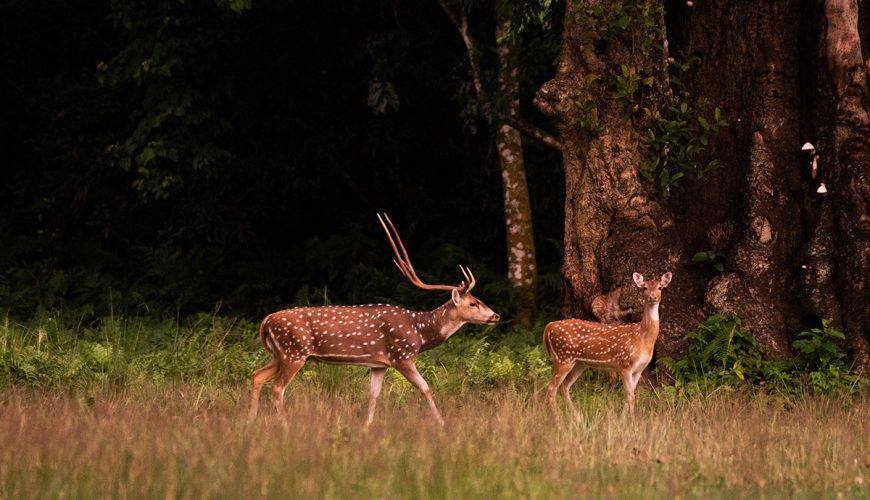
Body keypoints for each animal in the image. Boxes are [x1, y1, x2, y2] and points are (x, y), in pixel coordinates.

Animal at [249, 213, 500, 424]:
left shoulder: (379, 364)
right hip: (294, 352)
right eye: (473, 303)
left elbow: (374, 395)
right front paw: (442, 425)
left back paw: (250, 421)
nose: (495, 316)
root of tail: (266, 322)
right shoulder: (402, 356)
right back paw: (284, 425)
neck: (419, 333)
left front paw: (366, 427)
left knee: (257, 375)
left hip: (280, 354)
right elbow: (426, 388)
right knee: (277, 387)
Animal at [544, 272, 676, 416]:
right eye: (644, 288)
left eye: (660, 287)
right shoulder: (625, 365)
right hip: (563, 358)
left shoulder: (639, 369)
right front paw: (631, 420)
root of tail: (549, 326)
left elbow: (629, 396)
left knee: (564, 387)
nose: (652, 297)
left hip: (579, 363)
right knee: (551, 387)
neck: (643, 338)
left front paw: (623, 418)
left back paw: (577, 417)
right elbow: (630, 396)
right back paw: (558, 419)